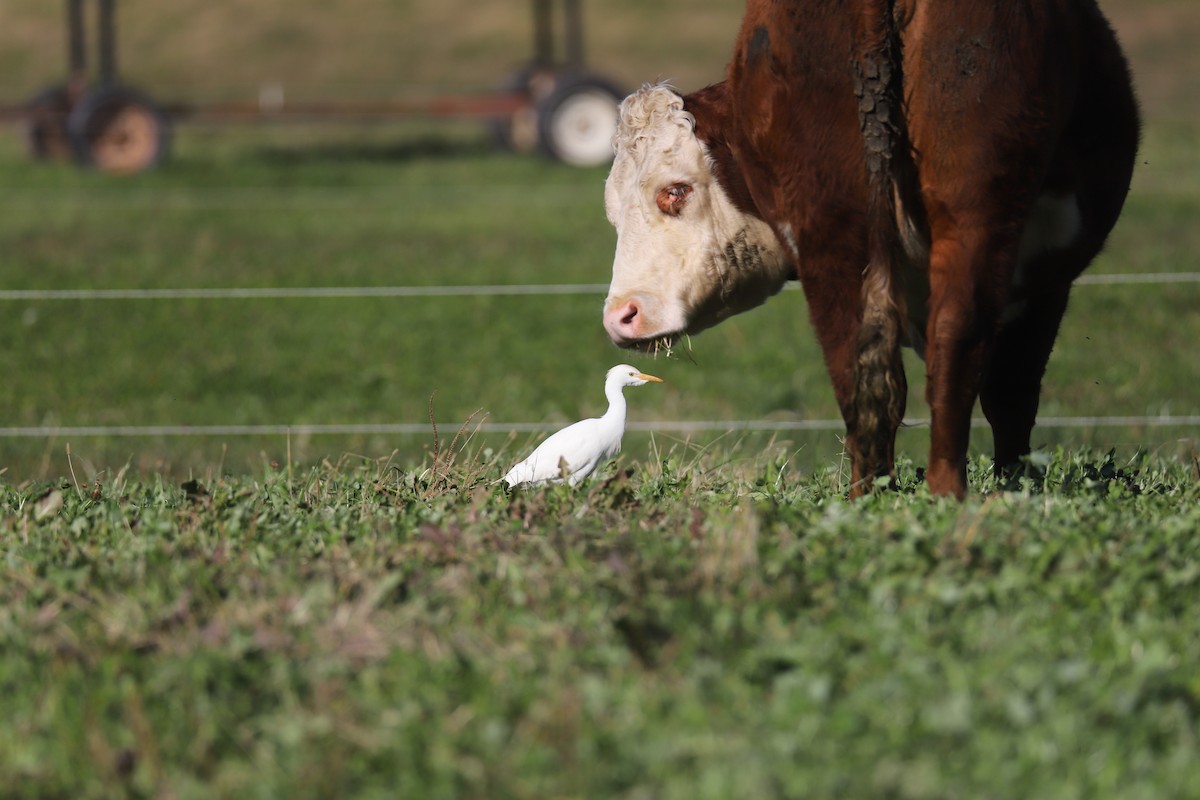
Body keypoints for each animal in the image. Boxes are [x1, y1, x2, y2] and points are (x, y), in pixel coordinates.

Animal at [601, 0, 1140, 498]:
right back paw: (945, 494)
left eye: (675, 191)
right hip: (971, 214)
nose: (620, 317)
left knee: (858, 365)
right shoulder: (1044, 281)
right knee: (952, 344)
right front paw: (1017, 486)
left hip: (833, 229)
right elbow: (1012, 393)